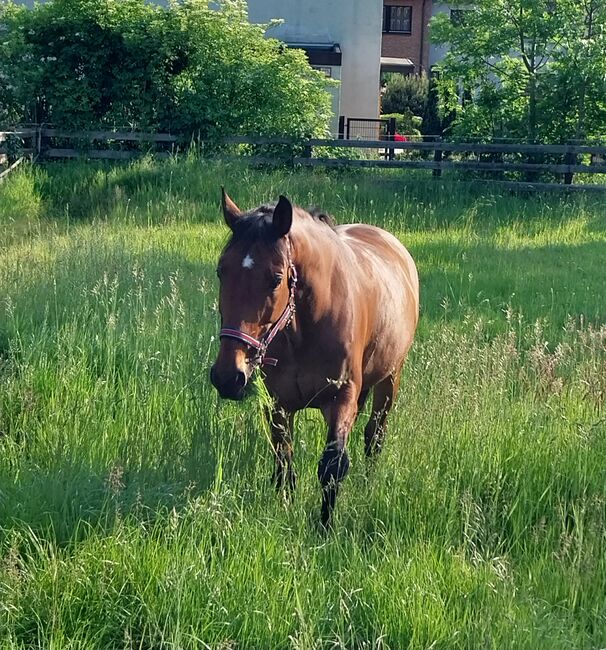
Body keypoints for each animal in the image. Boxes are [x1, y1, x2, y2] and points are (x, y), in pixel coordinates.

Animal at [211, 190, 420, 524]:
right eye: (221, 271)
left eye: (276, 278)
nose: (228, 377)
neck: (306, 328)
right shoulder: (277, 404)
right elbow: (284, 459)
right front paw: (284, 507)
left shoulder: (341, 397)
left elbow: (332, 466)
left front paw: (324, 526)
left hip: (390, 377)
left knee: (374, 435)